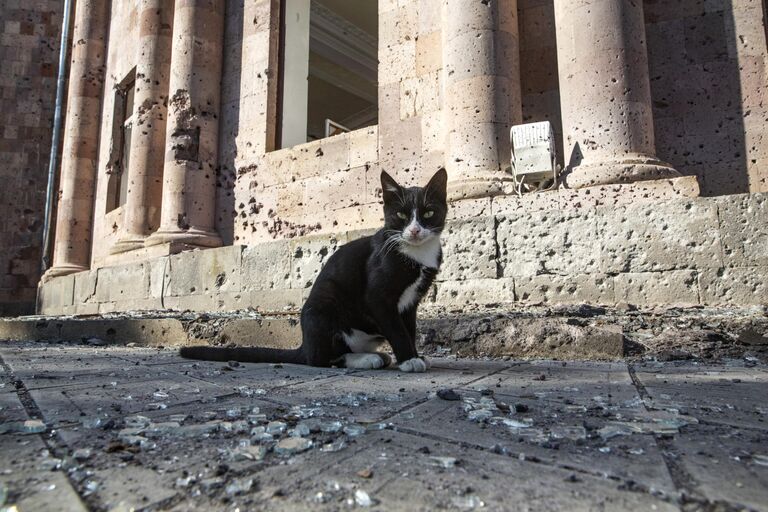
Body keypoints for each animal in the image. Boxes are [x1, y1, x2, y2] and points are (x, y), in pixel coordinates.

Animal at [178, 168, 450, 372]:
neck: (415, 253)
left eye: (428, 212)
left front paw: (416, 356)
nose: (414, 230)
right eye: (401, 215)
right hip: (324, 306)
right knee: (321, 359)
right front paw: (409, 360)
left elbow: (409, 328)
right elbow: (397, 329)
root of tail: (304, 344)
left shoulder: (410, 303)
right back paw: (366, 359)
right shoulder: (378, 297)